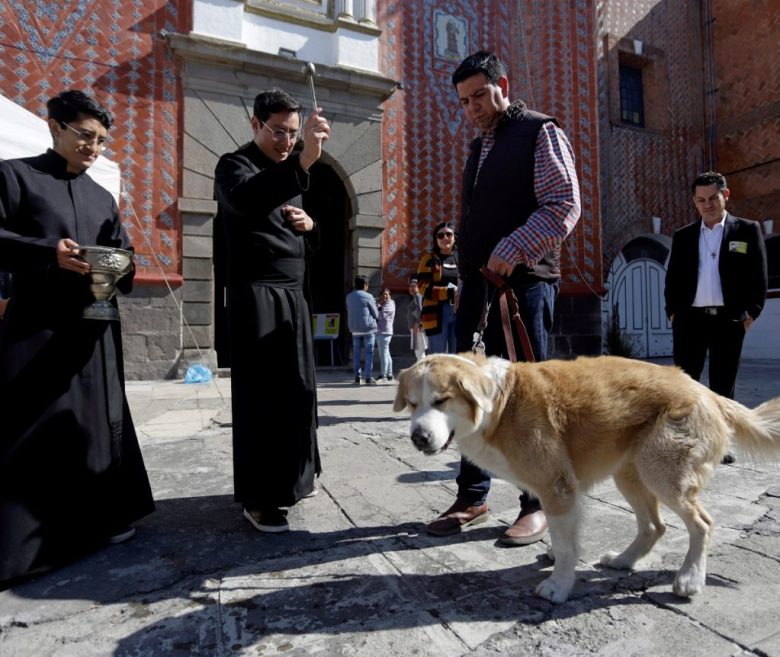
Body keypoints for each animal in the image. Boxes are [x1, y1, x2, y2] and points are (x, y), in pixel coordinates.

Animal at [394, 356, 780, 604]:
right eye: (412, 404)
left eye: (441, 400)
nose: (418, 438)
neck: (499, 405)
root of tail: (706, 390)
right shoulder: (562, 490)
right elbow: (563, 537)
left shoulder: (557, 487)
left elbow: (566, 547)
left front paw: (559, 586)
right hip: (631, 474)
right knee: (654, 527)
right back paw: (624, 560)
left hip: (662, 473)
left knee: (702, 523)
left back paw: (689, 579)